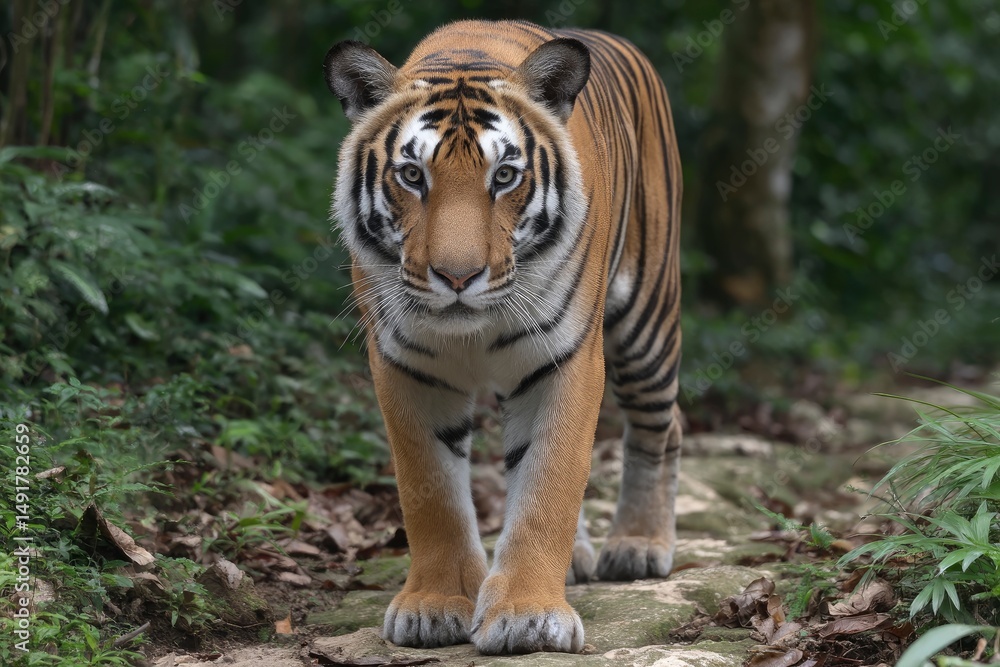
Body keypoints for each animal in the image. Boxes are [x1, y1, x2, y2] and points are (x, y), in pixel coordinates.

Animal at [323, 19, 682, 654]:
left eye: (505, 177)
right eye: (412, 176)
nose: (457, 276)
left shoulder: (566, 359)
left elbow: (548, 484)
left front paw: (529, 615)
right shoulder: (406, 366)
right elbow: (431, 493)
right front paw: (435, 605)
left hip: (647, 325)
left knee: (660, 426)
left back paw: (639, 545)